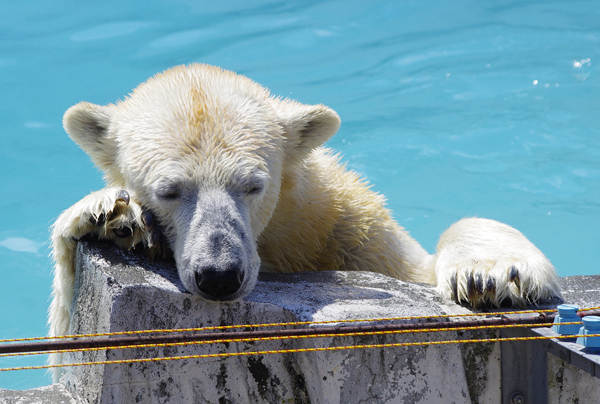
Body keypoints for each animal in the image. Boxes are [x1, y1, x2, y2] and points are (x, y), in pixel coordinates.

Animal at [49, 63, 560, 366]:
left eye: (253, 185)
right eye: (168, 191)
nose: (219, 274)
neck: (285, 241)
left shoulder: (349, 231)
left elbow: (423, 265)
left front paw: (491, 273)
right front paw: (113, 216)